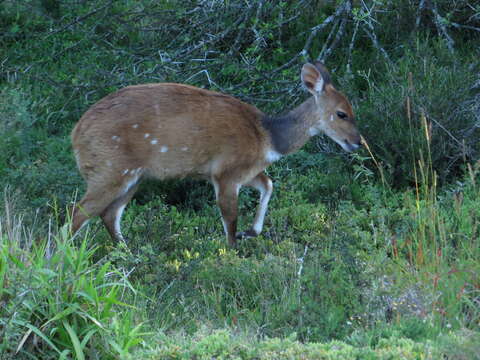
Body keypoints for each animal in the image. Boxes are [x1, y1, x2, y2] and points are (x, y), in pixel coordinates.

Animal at [69, 62, 358, 248]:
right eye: (342, 113)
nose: (357, 143)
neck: (268, 136)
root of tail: (76, 133)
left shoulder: (246, 171)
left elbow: (268, 184)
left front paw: (249, 233)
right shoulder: (225, 173)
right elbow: (230, 220)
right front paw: (233, 253)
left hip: (134, 178)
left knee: (109, 214)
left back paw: (128, 254)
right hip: (111, 170)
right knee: (77, 213)